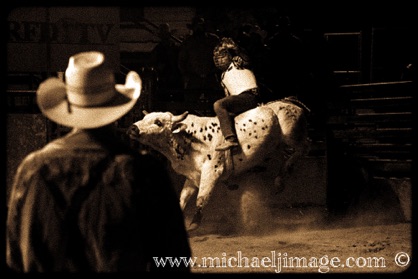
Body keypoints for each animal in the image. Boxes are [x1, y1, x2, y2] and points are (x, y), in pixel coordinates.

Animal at [128, 99, 310, 231]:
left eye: (158, 122)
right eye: (143, 118)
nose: (133, 128)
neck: (188, 138)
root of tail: (290, 102)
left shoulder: (212, 171)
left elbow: (202, 198)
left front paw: (193, 225)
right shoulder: (193, 176)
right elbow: (182, 199)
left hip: (290, 136)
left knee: (303, 148)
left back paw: (282, 176)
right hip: (279, 144)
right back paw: (279, 181)